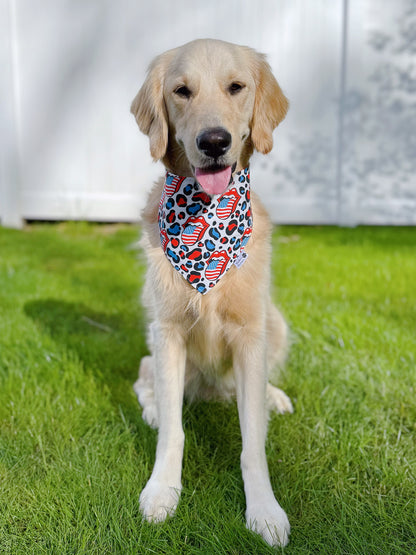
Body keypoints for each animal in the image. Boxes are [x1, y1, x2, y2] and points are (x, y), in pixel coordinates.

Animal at [132, 38, 290, 548]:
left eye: (236, 87)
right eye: (182, 91)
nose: (214, 142)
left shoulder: (251, 333)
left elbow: (253, 442)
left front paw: (265, 510)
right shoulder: (168, 331)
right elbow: (173, 434)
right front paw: (162, 490)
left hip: (275, 322)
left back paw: (273, 396)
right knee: (145, 382)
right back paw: (154, 408)